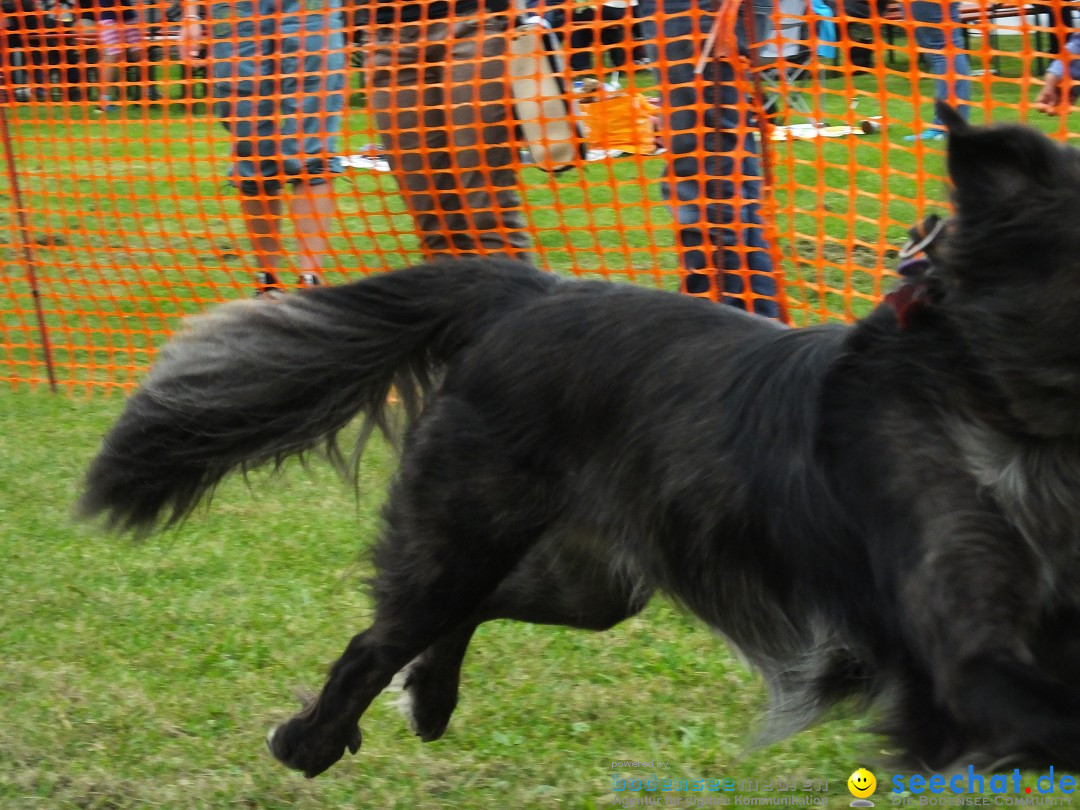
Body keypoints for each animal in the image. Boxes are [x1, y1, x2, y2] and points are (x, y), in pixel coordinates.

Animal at [79, 104, 1080, 777]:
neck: (1011, 421)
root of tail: (528, 291)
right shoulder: (958, 658)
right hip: (464, 533)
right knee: (380, 635)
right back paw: (310, 741)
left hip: (590, 582)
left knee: (462, 614)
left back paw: (429, 698)